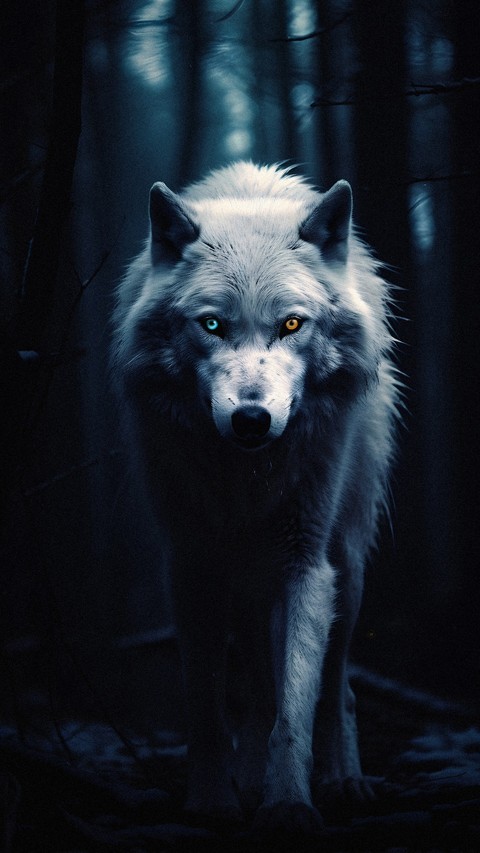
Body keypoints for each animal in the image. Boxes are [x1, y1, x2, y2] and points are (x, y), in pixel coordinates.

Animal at [111, 162, 400, 833]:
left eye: (292, 324)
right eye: (212, 324)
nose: (250, 419)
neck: (245, 476)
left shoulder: (305, 562)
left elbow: (295, 707)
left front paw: (289, 805)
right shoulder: (190, 565)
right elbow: (209, 709)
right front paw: (214, 801)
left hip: (347, 566)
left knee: (339, 686)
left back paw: (345, 780)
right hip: (242, 578)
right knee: (254, 687)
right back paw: (247, 780)